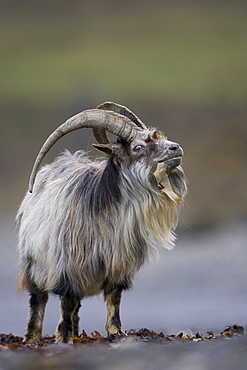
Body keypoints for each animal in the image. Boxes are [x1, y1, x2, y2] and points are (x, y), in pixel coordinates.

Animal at [15, 102, 187, 344]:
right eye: (137, 147)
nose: (175, 148)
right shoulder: (68, 268)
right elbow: (66, 302)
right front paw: (63, 338)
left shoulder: (118, 267)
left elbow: (114, 299)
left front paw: (116, 332)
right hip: (35, 265)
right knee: (39, 300)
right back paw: (33, 338)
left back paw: (76, 333)